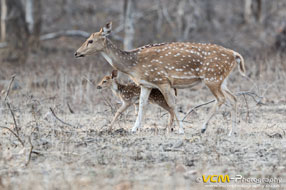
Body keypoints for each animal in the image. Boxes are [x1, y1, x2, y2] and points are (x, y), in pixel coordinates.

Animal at [76, 22, 246, 135]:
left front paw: (181, 130)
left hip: (212, 77)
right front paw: (133, 129)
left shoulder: (162, 80)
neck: (134, 66)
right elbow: (142, 105)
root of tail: (235, 55)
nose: (77, 53)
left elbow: (172, 104)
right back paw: (232, 132)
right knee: (234, 98)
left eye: (90, 40)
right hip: (222, 80)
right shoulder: (146, 84)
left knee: (221, 99)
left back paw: (203, 128)